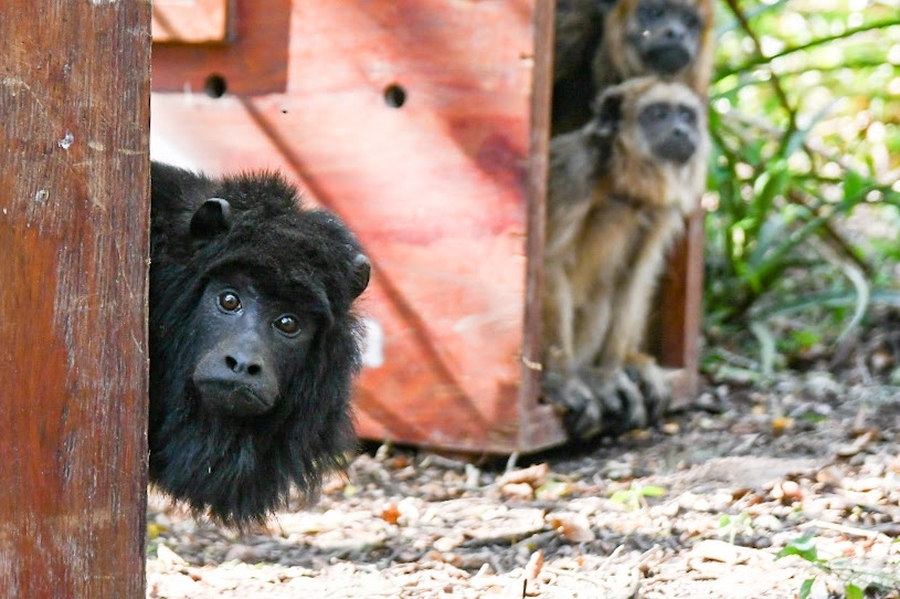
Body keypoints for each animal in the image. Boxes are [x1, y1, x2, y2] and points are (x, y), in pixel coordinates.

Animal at [540, 77, 712, 438]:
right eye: (658, 114)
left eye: (686, 116)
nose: (680, 130)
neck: (621, 184)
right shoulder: (574, 172)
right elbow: (548, 263)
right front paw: (561, 381)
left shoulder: (660, 209)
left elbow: (636, 273)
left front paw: (609, 375)